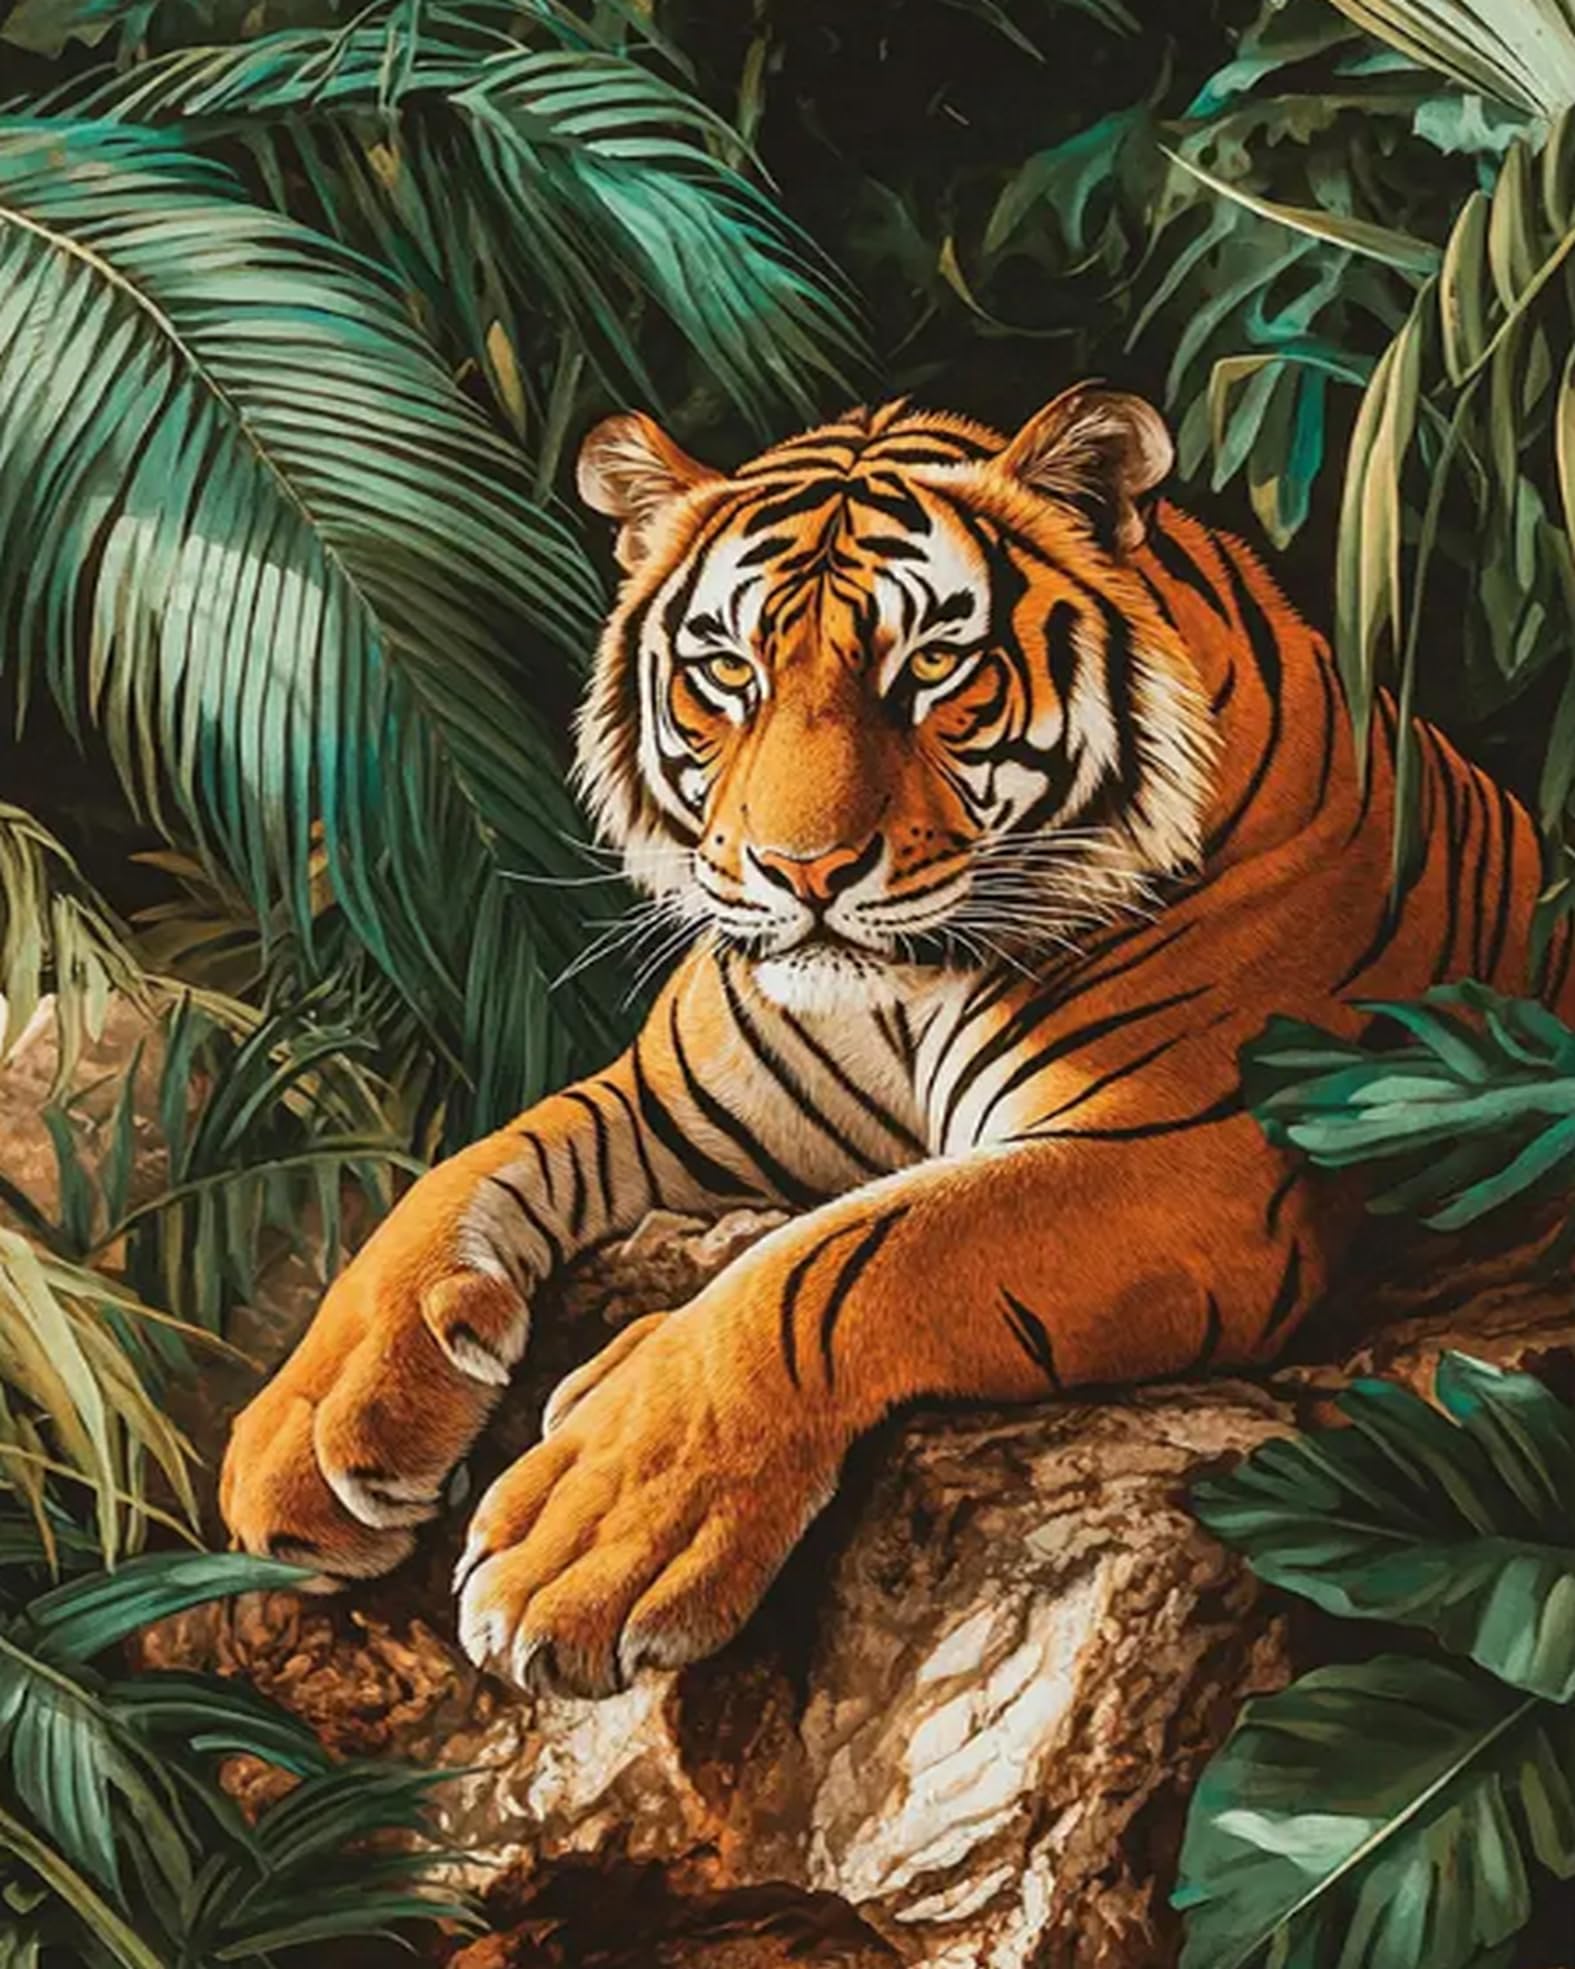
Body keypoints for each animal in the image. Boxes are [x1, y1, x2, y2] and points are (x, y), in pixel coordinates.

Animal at [221, 383, 1574, 1700]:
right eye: (728, 671)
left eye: (931, 665)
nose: (801, 869)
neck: (895, 999)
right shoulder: (672, 1104)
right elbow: (457, 1177)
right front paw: (306, 1434)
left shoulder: (1181, 1161)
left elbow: (834, 1260)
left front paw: (593, 1530)